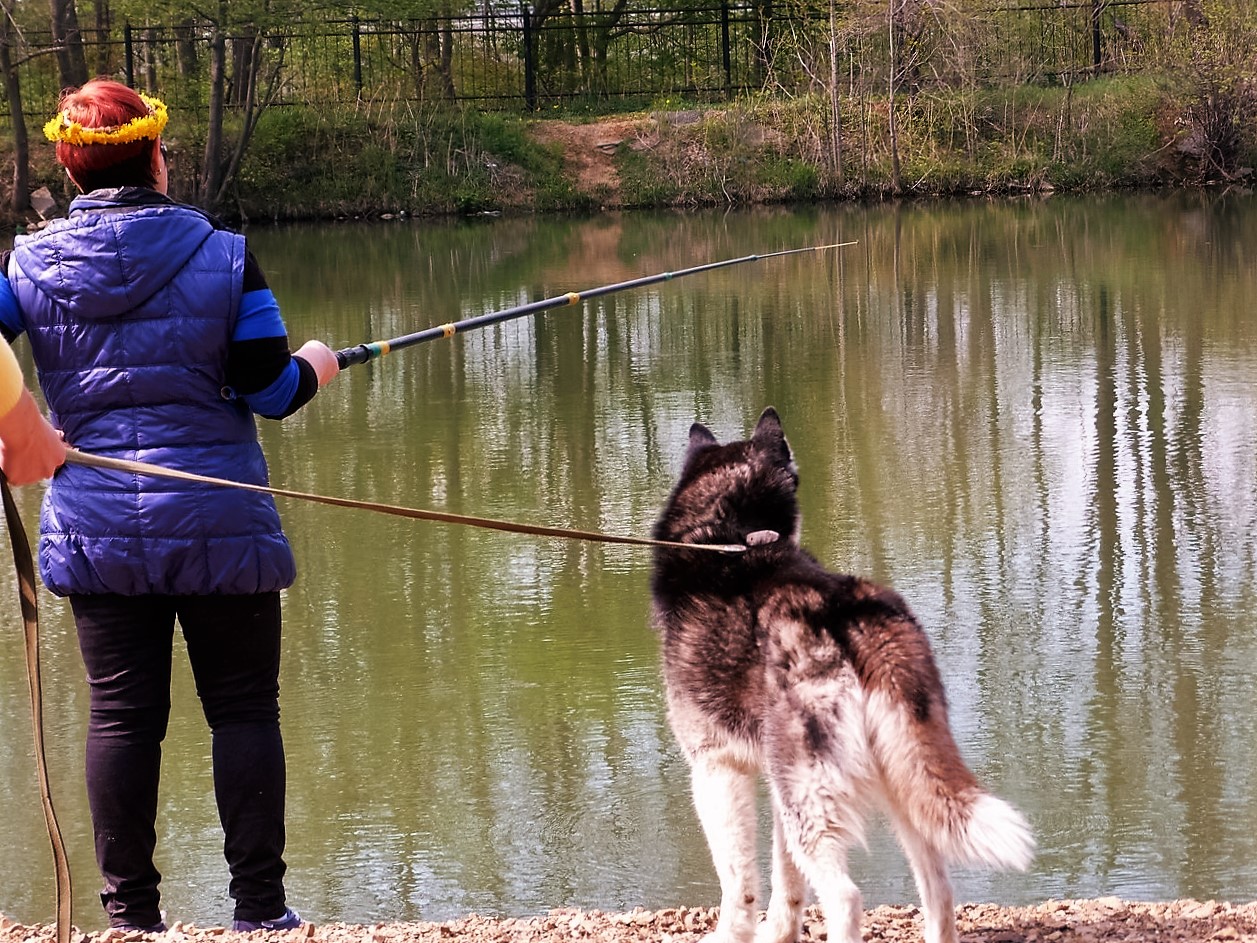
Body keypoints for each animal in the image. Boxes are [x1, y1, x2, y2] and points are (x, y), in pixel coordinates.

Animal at [648, 409, 1030, 943]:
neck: (732, 537)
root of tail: (847, 615)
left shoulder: (716, 768)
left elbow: (738, 886)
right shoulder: (775, 784)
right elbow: (787, 885)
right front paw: (779, 933)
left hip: (816, 800)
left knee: (846, 898)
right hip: (896, 786)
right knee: (938, 887)